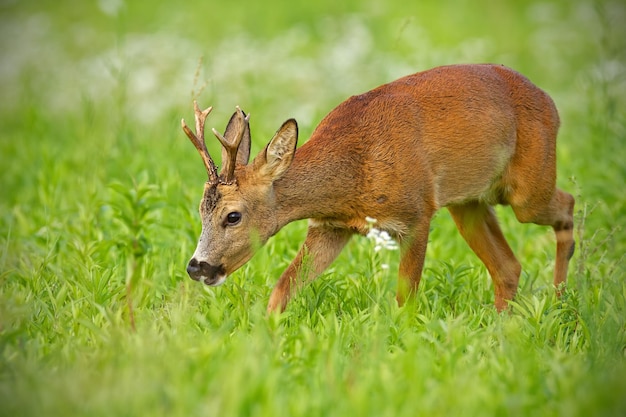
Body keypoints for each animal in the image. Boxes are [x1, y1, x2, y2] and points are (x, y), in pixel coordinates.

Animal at [179, 63, 572, 310]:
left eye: (233, 216)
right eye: (200, 210)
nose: (197, 267)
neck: (354, 171)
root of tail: (551, 102)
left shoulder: (416, 214)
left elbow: (405, 298)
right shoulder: (330, 227)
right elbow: (282, 289)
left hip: (527, 190)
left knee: (566, 204)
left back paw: (560, 301)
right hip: (468, 202)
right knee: (508, 268)